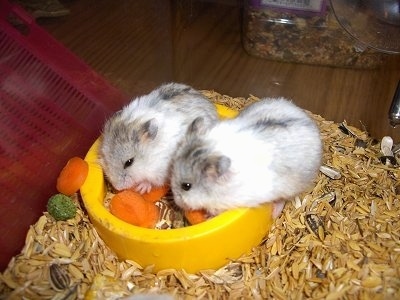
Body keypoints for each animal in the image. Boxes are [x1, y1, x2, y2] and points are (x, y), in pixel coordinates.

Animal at [170, 98, 324, 218]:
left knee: (282, 200)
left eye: (186, 186)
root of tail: (311, 123)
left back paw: (274, 213)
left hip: (290, 187)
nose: (177, 201)